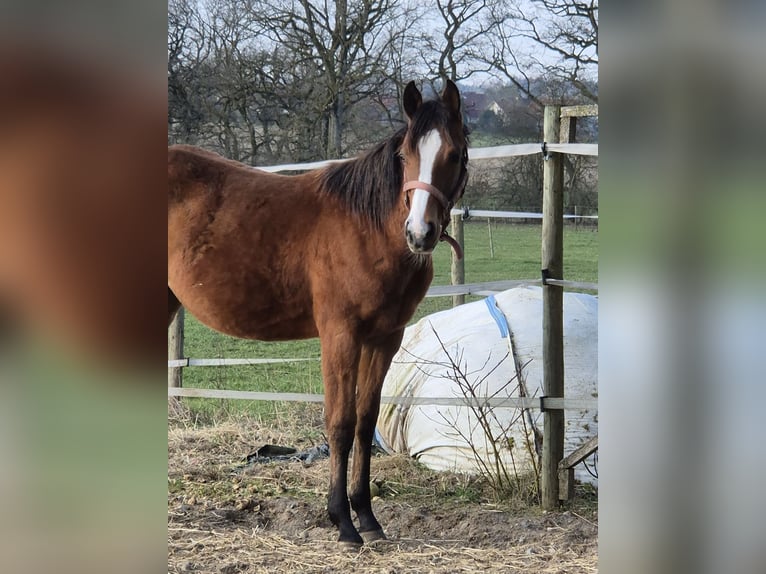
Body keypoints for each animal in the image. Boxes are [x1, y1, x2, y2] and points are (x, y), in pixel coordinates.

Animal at [167, 80, 468, 547]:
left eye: (453, 154)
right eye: (405, 155)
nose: (419, 233)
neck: (368, 227)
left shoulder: (385, 338)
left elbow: (365, 421)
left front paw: (368, 518)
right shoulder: (340, 335)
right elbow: (340, 423)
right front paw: (342, 522)